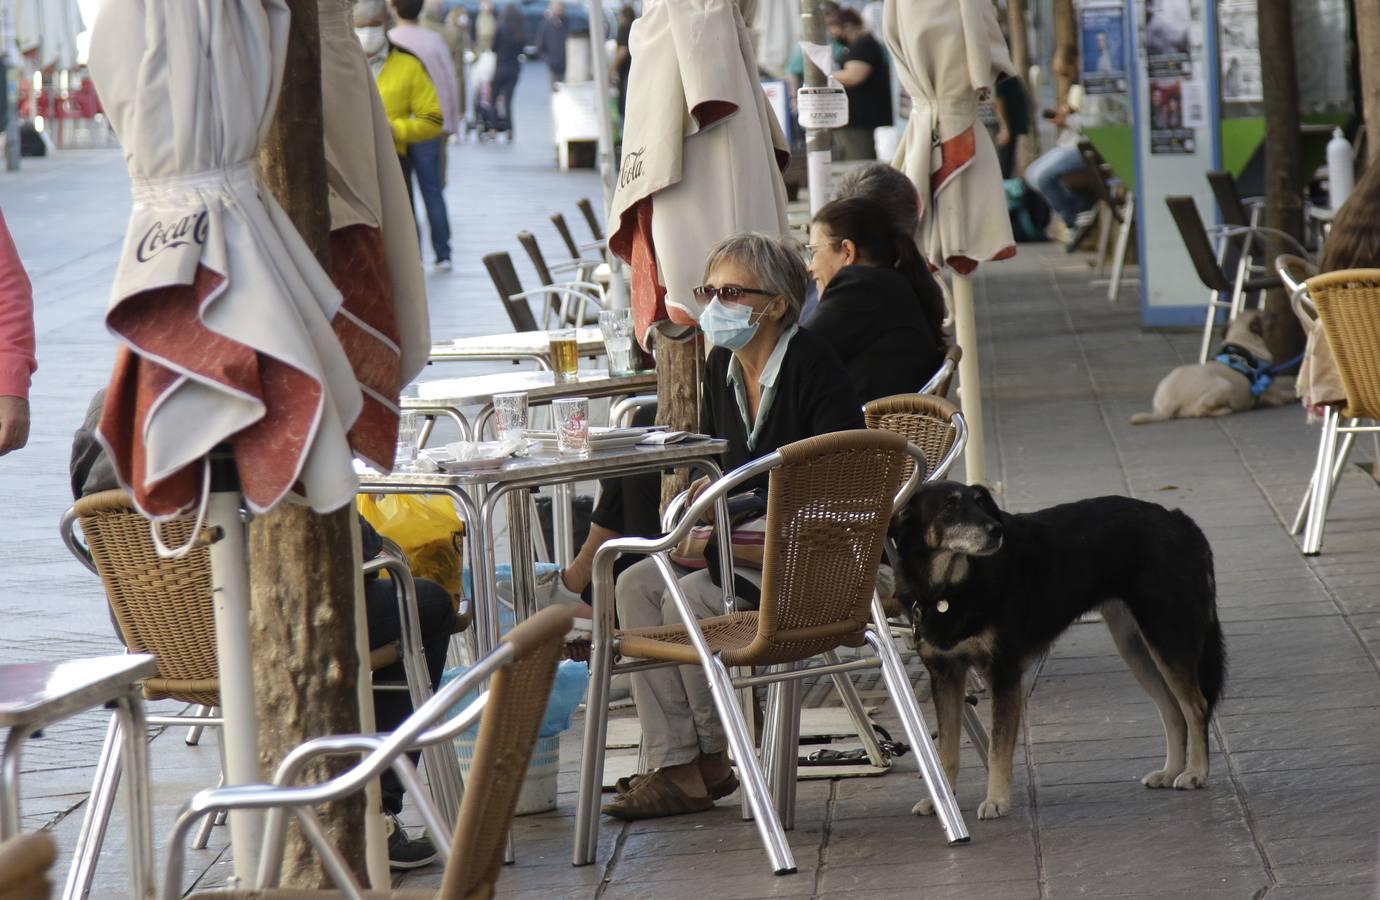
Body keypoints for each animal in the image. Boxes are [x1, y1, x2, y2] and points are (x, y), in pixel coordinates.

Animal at [894, 480, 1230, 817]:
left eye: (979, 502)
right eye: (950, 506)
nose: (996, 531)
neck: (950, 589)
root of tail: (1179, 519)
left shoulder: (1004, 675)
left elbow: (997, 749)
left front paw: (996, 800)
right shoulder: (946, 676)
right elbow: (945, 750)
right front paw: (942, 800)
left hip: (1167, 638)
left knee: (1196, 706)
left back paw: (1195, 772)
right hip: (1137, 648)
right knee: (1173, 710)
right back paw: (1170, 771)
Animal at [1131, 313, 1291, 425]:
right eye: (1266, 316)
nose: (1275, 314)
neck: (1242, 341)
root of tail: (1171, 401)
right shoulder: (1276, 394)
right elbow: (1289, 394)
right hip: (1224, 385)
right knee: (1201, 410)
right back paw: (1224, 409)